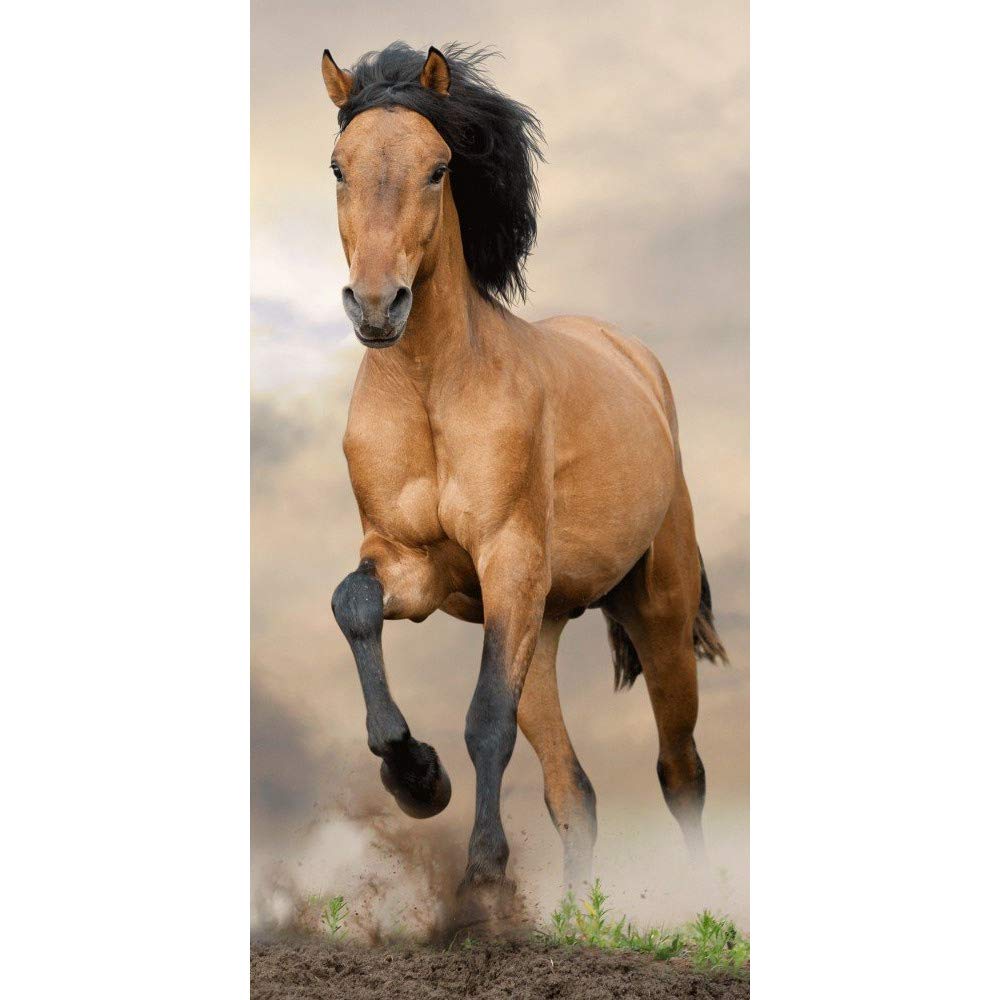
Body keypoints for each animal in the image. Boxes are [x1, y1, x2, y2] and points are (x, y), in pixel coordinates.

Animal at [322, 42, 727, 893]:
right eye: (339, 167)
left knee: (680, 771)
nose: (377, 307)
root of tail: (633, 359)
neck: (433, 391)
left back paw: (702, 897)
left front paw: (484, 871)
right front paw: (415, 777)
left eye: (439, 167)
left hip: (658, 614)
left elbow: (485, 722)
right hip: (540, 625)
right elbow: (354, 605)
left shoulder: (506, 558)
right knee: (575, 792)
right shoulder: (415, 565)